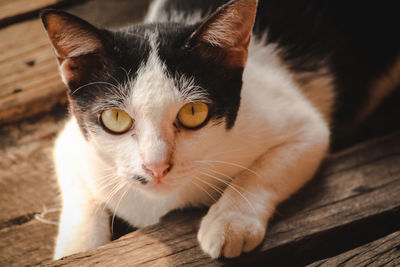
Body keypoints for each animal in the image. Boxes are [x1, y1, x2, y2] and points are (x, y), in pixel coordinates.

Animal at [41, 0, 400, 260]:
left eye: (193, 113)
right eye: (115, 118)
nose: (156, 167)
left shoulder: (304, 125)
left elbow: (264, 171)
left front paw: (229, 223)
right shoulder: (70, 145)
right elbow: (79, 203)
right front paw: (78, 250)